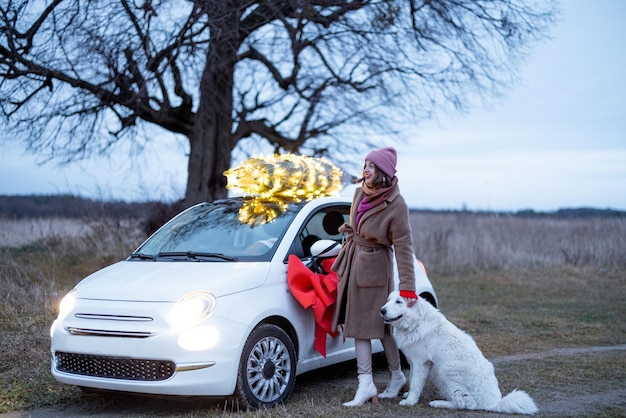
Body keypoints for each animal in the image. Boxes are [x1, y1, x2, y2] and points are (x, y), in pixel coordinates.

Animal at [378, 290, 540, 414]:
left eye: (399, 302)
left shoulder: (420, 362)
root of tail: (493, 402)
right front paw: (408, 394)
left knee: (466, 404)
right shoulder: (414, 362)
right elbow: (412, 380)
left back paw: (438, 403)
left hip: (445, 369)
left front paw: (410, 401)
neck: (416, 323)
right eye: (388, 300)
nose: (382, 310)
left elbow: (416, 383)